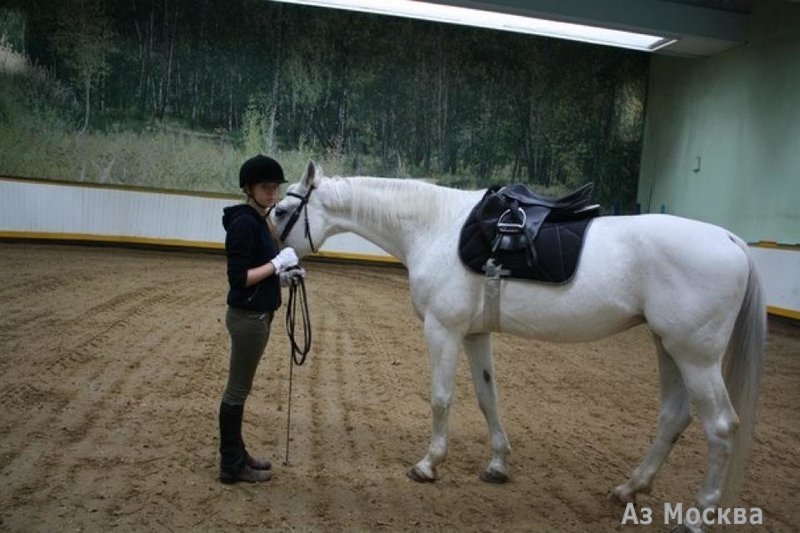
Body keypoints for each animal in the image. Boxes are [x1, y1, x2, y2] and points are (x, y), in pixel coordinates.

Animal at [272, 161, 764, 520]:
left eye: (280, 211)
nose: (276, 260)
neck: (436, 226)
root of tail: (730, 239)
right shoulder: (474, 333)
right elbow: (487, 397)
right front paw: (497, 465)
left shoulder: (443, 329)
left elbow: (441, 398)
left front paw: (428, 465)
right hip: (668, 348)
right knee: (673, 418)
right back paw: (629, 487)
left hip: (696, 356)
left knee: (721, 427)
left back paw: (699, 514)